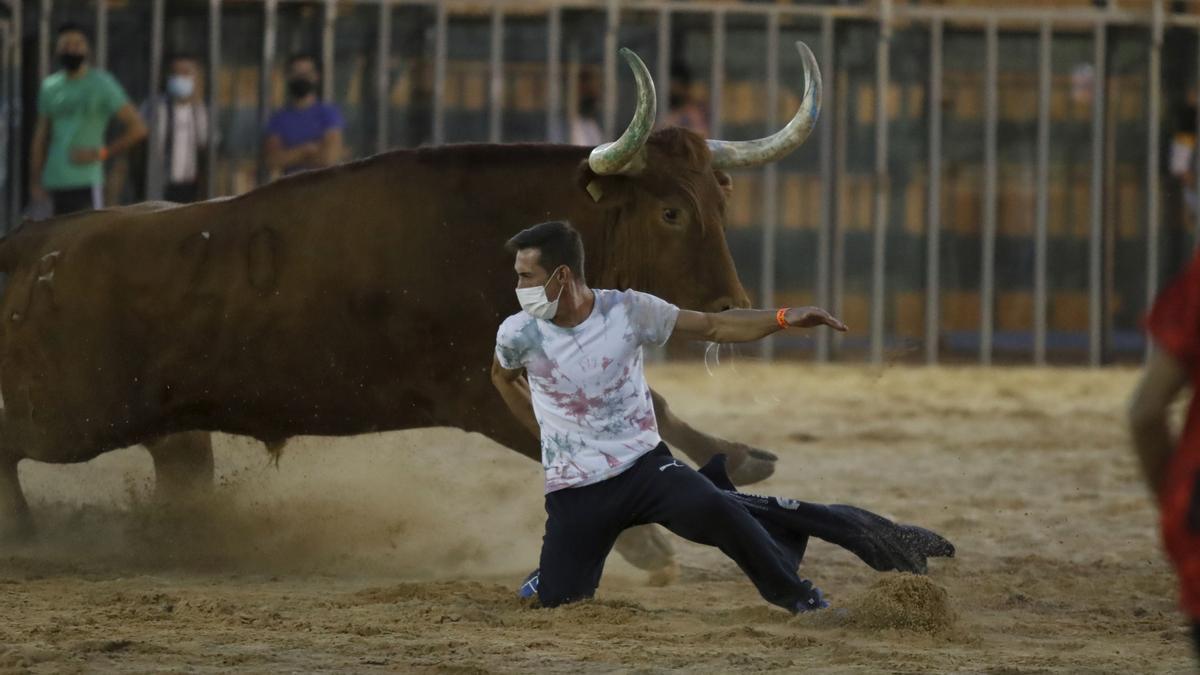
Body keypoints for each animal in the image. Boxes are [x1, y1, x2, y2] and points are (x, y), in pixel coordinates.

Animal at [0, 45, 820, 571]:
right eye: (672, 212)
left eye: (721, 200)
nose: (733, 307)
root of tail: (29, 240)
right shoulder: (481, 390)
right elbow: (553, 439)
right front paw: (647, 543)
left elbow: (652, 405)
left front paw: (741, 456)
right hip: (71, 414)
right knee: (12, 446)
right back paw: (26, 540)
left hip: (171, 432)